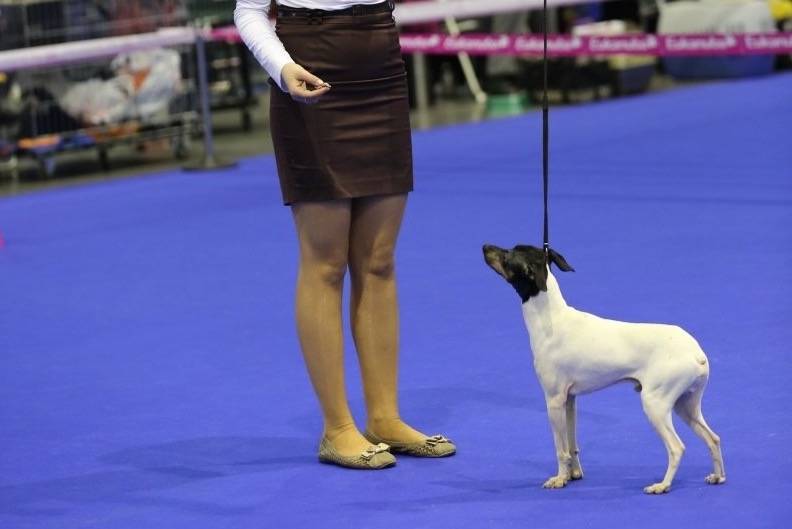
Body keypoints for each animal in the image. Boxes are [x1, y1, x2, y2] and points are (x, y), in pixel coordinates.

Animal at [483, 244, 725, 494]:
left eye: (507, 255)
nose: (484, 247)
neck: (551, 319)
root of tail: (697, 354)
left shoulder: (554, 400)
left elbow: (561, 450)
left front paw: (560, 479)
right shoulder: (569, 400)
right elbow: (571, 445)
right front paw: (573, 475)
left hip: (655, 405)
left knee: (677, 448)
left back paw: (662, 485)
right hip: (685, 406)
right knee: (713, 439)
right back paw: (717, 477)